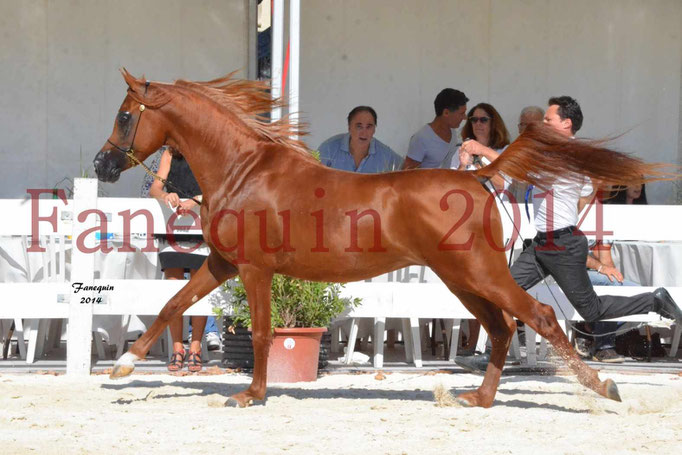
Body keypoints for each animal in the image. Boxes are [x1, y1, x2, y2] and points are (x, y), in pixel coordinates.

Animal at [94, 71, 668, 410]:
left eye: (124, 115)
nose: (101, 166)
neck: (244, 170)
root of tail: (481, 176)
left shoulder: (254, 269)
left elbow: (259, 333)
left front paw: (250, 395)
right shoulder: (220, 263)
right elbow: (172, 305)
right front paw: (123, 367)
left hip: (480, 273)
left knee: (540, 317)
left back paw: (603, 386)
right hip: (462, 280)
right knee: (503, 328)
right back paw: (478, 398)